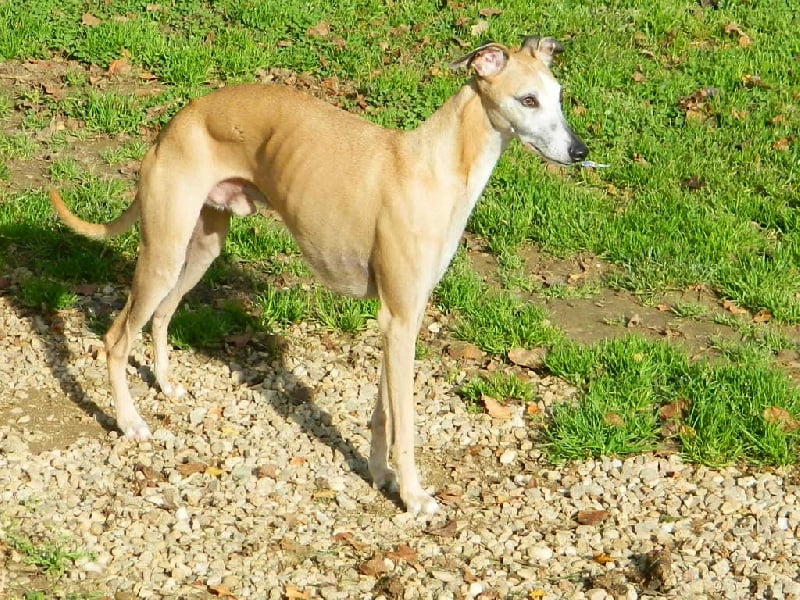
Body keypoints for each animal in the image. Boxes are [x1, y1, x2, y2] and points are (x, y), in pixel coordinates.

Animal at [50, 38, 588, 516]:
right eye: (528, 99)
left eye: (559, 95)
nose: (580, 151)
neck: (436, 167)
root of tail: (176, 121)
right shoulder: (399, 320)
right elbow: (405, 422)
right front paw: (414, 497)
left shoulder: (399, 317)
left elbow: (383, 412)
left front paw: (381, 475)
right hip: (164, 250)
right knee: (117, 337)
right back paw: (129, 422)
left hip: (201, 246)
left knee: (162, 314)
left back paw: (165, 383)